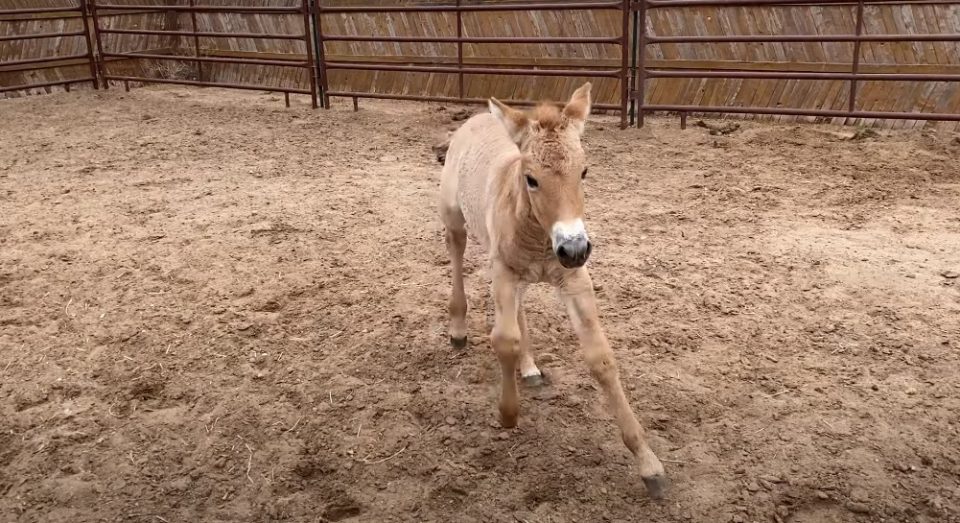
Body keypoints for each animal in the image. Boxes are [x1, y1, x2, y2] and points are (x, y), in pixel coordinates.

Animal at [437, 83, 668, 498]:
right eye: (531, 178)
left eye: (584, 171)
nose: (574, 248)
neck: (540, 238)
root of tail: (477, 117)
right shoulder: (502, 271)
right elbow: (504, 341)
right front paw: (507, 414)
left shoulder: (574, 280)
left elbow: (601, 359)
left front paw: (648, 464)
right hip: (454, 219)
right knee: (457, 257)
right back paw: (459, 331)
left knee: (519, 308)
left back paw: (529, 368)